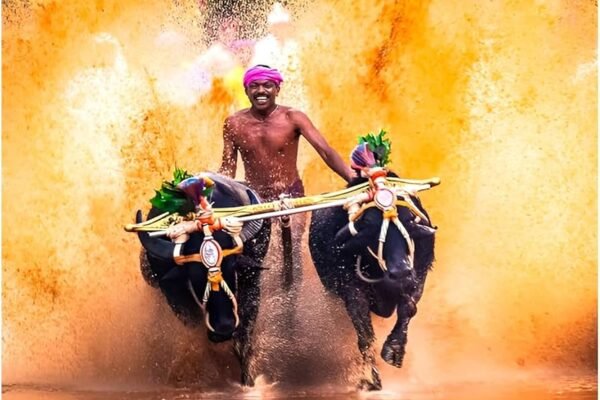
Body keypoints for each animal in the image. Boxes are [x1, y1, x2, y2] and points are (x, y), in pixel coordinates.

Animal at [137, 173, 270, 386]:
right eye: (195, 276)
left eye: (232, 269)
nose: (224, 328)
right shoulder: (172, 292)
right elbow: (196, 325)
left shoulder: (252, 280)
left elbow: (244, 336)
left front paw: (247, 380)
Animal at [310, 173, 436, 390]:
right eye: (369, 226)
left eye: (409, 220)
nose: (400, 271)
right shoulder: (352, 292)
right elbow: (365, 334)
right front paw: (370, 378)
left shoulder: (417, 275)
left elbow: (408, 309)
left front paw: (394, 350)